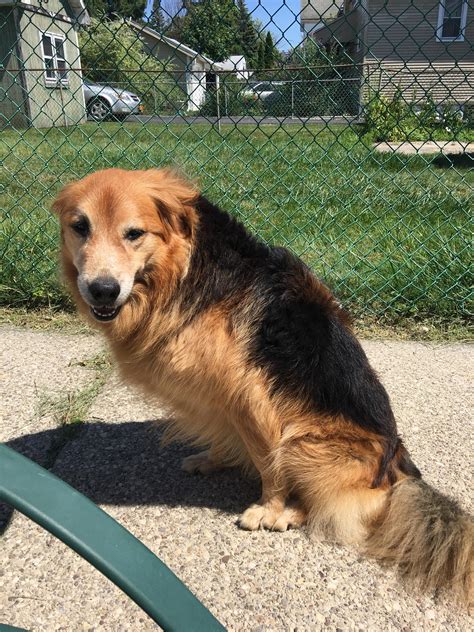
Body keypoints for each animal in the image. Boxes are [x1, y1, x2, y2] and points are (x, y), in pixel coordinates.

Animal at [53, 168, 472, 608]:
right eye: (80, 227)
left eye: (134, 233)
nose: (102, 290)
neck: (182, 271)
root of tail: (400, 471)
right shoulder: (225, 397)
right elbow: (229, 435)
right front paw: (216, 457)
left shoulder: (252, 397)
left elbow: (270, 466)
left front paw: (270, 508)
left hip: (308, 444)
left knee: (331, 505)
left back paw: (293, 511)